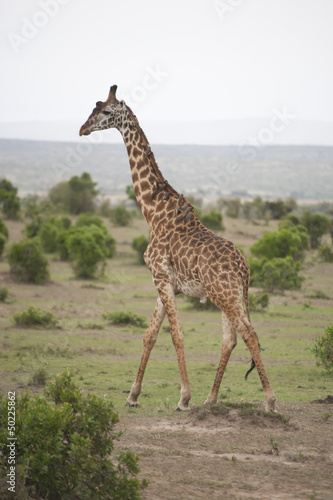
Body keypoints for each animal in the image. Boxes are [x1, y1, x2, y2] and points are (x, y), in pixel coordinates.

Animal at [78, 86, 274, 412]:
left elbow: (176, 335)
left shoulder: (160, 277)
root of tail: (245, 268)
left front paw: (183, 398)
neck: (152, 211)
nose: (82, 129)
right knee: (230, 337)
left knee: (248, 332)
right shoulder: (165, 282)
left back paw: (269, 400)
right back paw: (211, 399)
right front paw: (133, 396)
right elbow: (150, 335)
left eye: (104, 111)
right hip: (229, 295)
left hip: (224, 294)